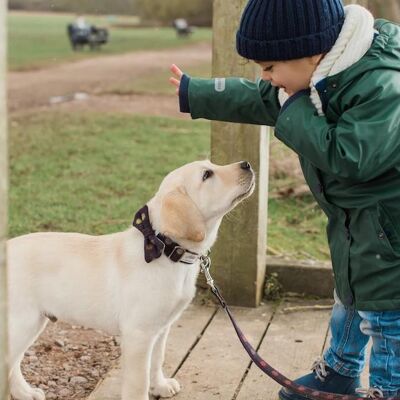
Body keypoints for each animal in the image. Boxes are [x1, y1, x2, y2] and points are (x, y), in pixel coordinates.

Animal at [7, 159, 255, 400]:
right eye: (206, 175)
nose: (247, 164)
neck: (164, 249)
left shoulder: (160, 328)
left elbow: (157, 360)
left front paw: (160, 386)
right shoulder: (139, 334)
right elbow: (138, 381)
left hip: (33, 323)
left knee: (13, 363)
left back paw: (25, 393)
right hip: (22, 322)